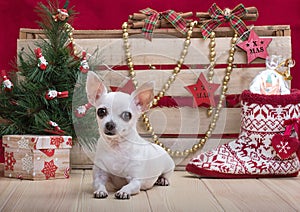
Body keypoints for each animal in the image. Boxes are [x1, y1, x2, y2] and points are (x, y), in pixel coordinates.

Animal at [85, 71, 175, 199]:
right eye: (101, 111)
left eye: (127, 115)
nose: (110, 124)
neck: (116, 147)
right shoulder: (100, 174)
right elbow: (98, 183)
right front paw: (100, 191)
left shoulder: (135, 180)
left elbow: (130, 186)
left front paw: (123, 191)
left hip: (169, 165)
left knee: (166, 174)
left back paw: (163, 180)